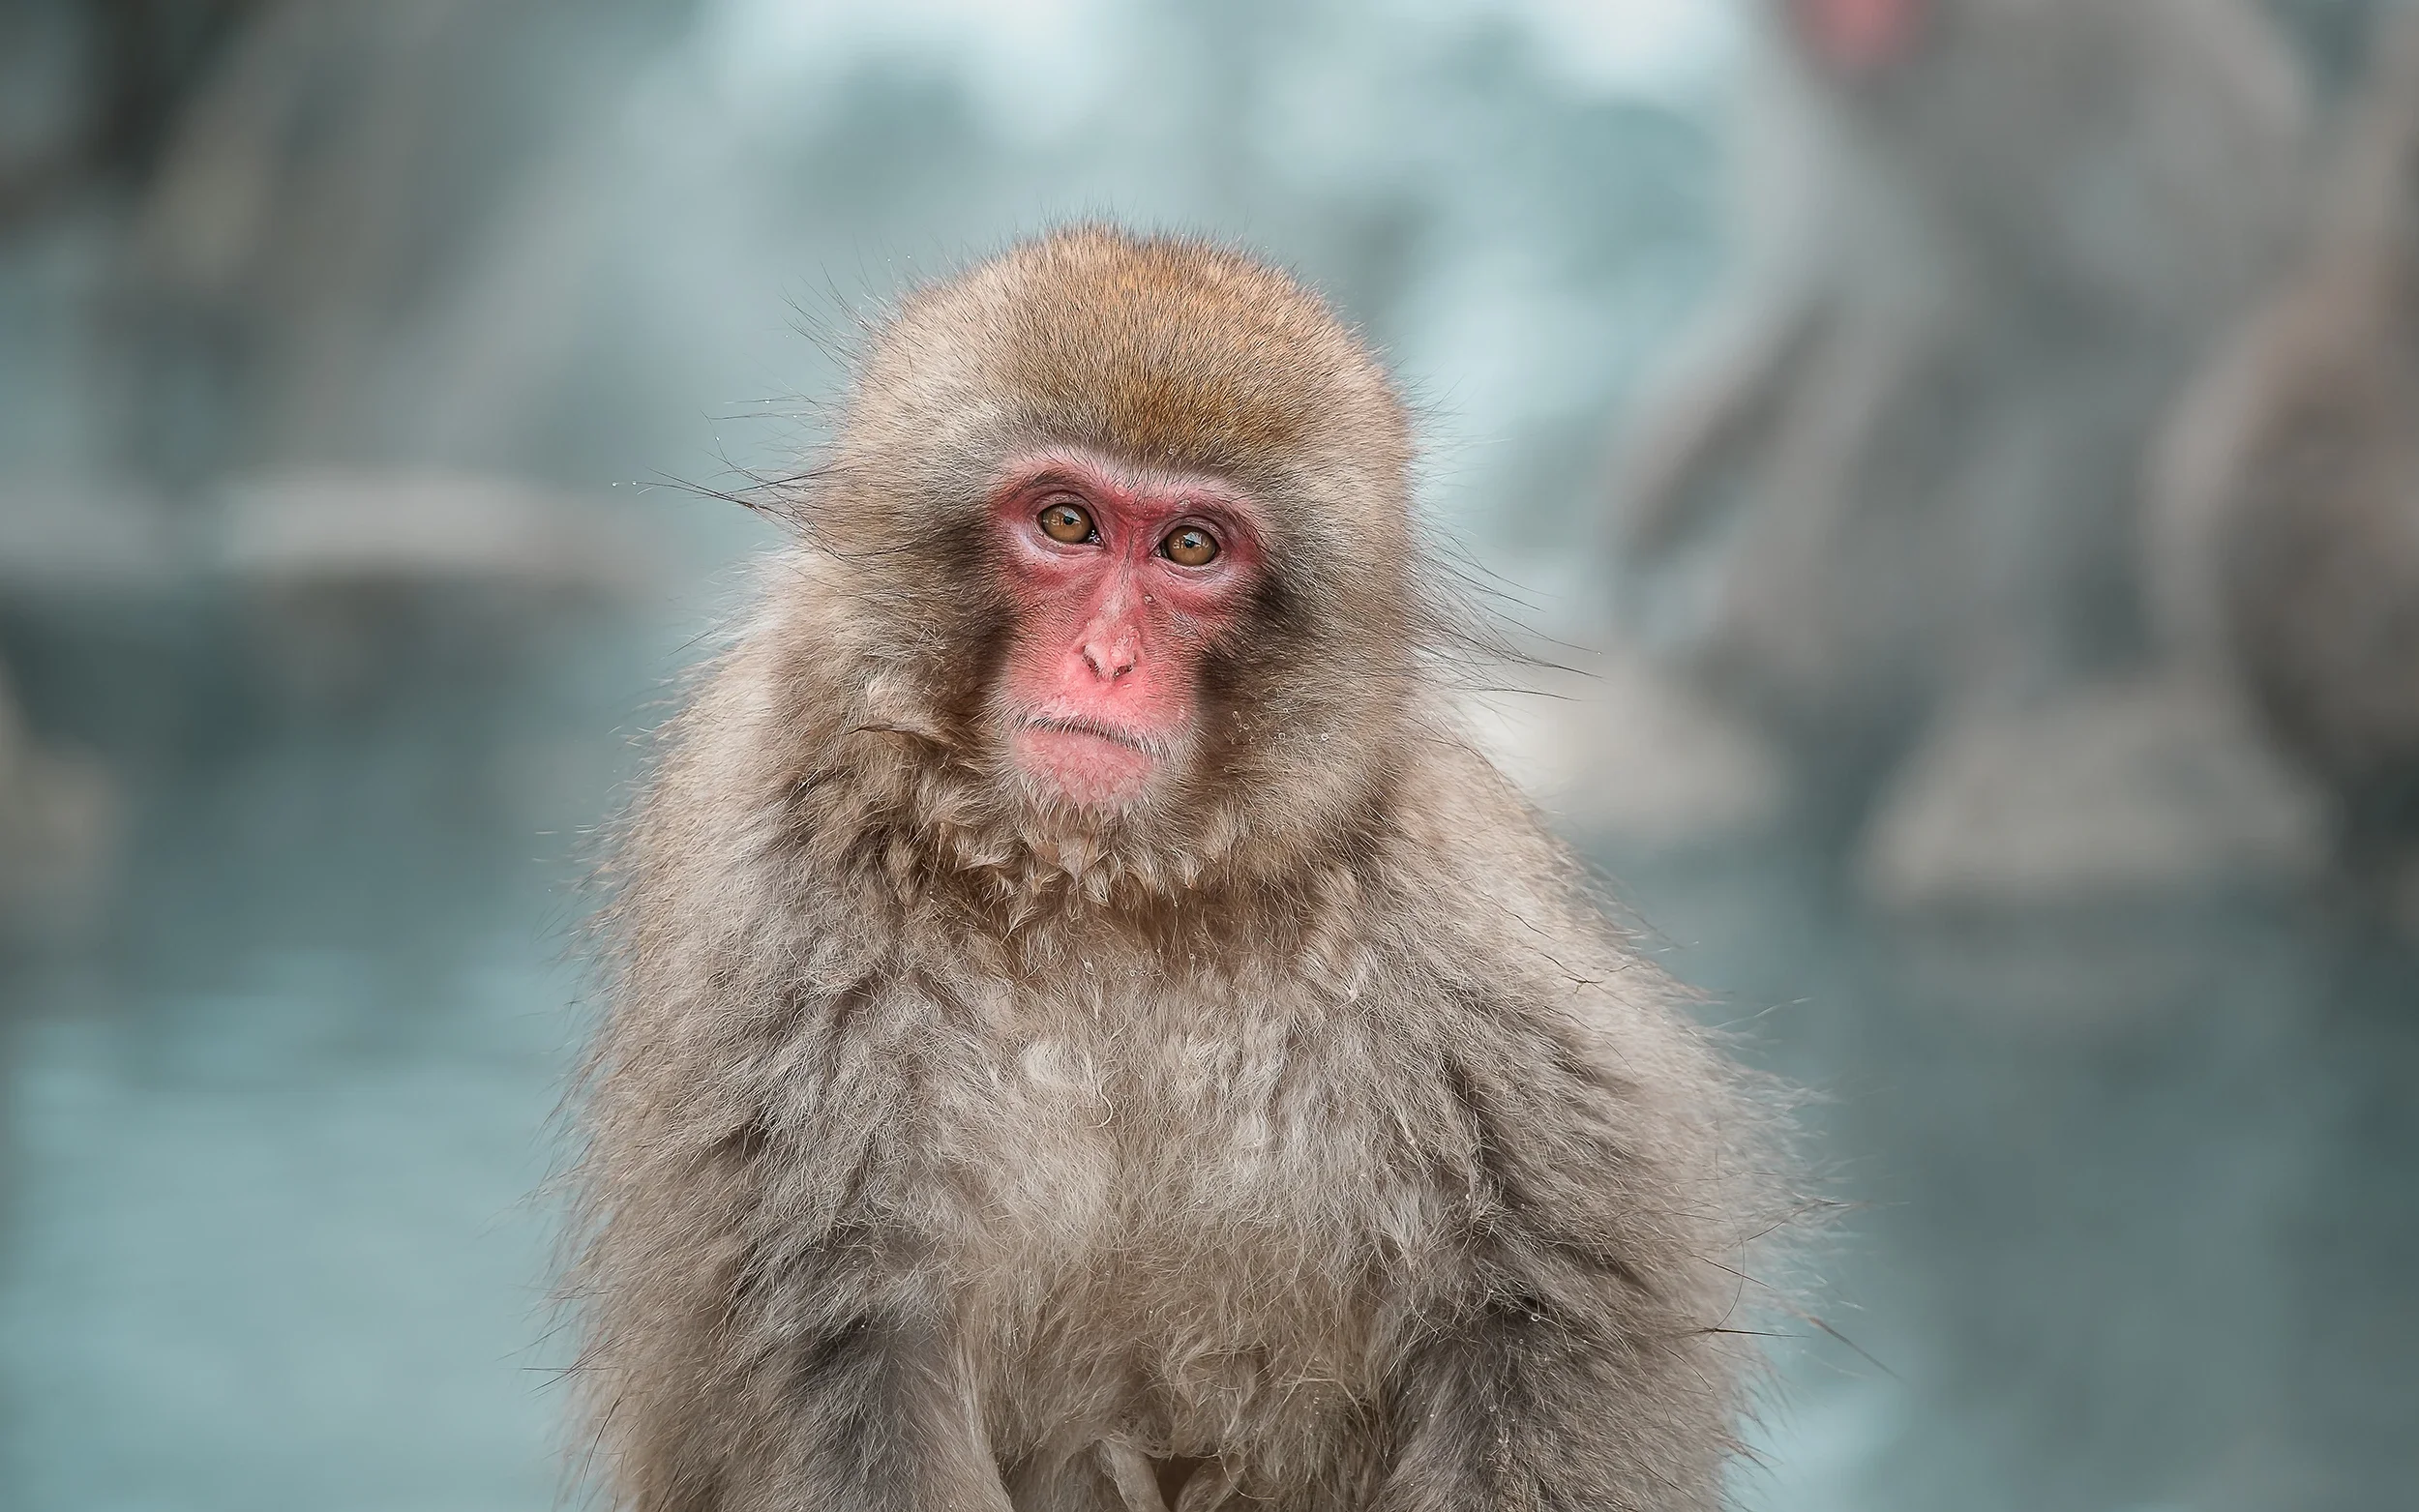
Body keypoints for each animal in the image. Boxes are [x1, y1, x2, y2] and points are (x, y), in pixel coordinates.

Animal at [567, 228, 1792, 1512]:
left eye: (1191, 547)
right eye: (1064, 523)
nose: (1106, 660)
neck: (1097, 890)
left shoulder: (1445, 914)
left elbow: (1551, 1314)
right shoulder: (778, 920)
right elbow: (844, 1353)